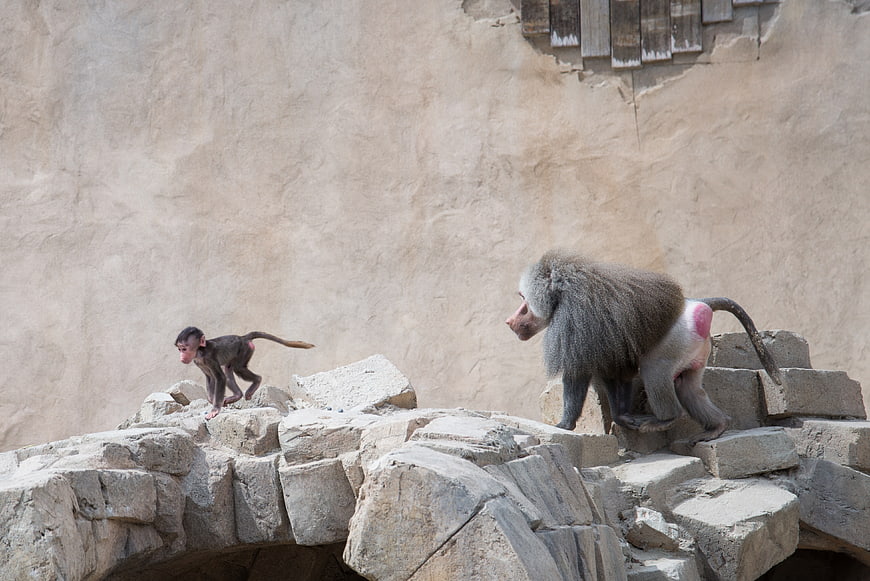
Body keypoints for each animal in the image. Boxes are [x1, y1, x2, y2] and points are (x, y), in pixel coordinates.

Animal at [175, 327, 314, 420]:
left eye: (184, 349)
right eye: (180, 349)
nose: (181, 357)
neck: (200, 351)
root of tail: (243, 337)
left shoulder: (209, 358)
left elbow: (219, 378)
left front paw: (215, 410)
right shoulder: (198, 362)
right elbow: (210, 378)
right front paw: (211, 399)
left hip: (245, 349)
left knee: (238, 368)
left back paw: (257, 380)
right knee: (228, 369)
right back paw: (237, 395)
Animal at [506, 250, 782, 444]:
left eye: (524, 301)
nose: (510, 321)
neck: (562, 293)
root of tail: (696, 303)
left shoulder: (574, 323)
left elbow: (578, 374)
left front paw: (564, 424)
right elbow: (616, 373)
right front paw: (622, 417)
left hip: (675, 341)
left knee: (654, 371)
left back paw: (666, 419)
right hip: (695, 349)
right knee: (688, 387)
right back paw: (717, 427)